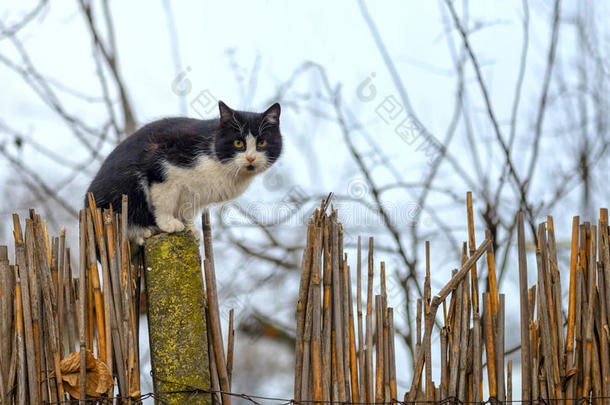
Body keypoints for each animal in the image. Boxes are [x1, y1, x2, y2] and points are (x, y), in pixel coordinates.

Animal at [86, 101, 282, 245]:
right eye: (238, 143)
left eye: (262, 143)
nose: (250, 158)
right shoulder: (162, 157)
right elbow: (164, 198)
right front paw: (169, 223)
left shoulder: (195, 194)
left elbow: (187, 210)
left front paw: (190, 229)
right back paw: (143, 231)